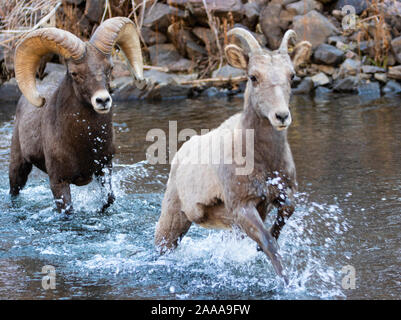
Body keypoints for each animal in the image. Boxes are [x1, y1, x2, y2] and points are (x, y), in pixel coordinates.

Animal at [9, 16, 145, 214]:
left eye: (109, 68)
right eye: (74, 73)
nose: (102, 100)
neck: (83, 141)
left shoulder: (104, 169)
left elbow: (109, 199)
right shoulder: (59, 182)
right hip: (18, 166)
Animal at [155, 28, 308, 282]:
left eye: (292, 76)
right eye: (253, 77)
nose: (281, 116)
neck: (264, 161)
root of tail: (181, 152)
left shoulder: (278, 195)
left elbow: (286, 213)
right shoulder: (241, 206)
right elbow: (268, 243)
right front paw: (287, 281)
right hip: (173, 216)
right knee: (163, 244)